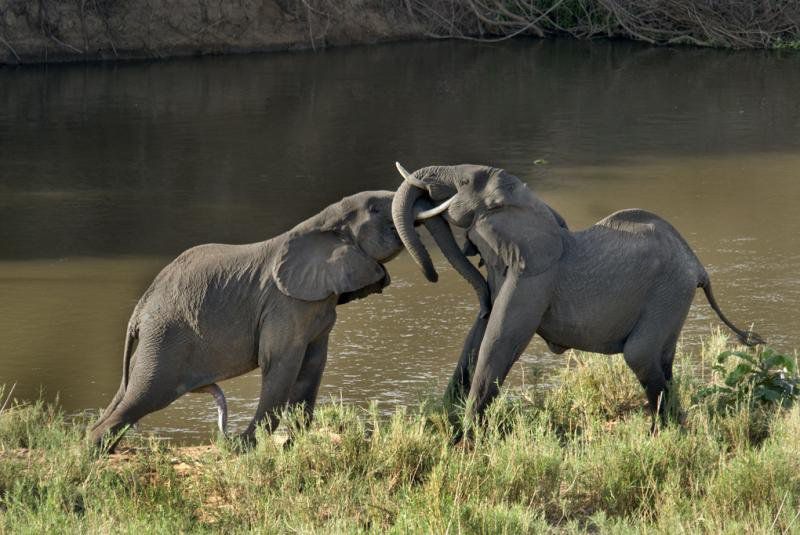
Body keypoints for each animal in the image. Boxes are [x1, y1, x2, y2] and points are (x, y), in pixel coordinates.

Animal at [91, 191, 484, 454]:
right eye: (374, 208)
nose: (435, 275)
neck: (319, 224)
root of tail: (139, 310)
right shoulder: (285, 304)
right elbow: (281, 363)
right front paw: (248, 446)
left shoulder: (318, 307)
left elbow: (313, 364)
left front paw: (296, 439)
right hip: (167, 338)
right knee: (147, 392)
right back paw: (96, 451)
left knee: (129, 392)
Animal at [390, 162, 764, 432]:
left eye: (465, 182)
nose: (433, 275)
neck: (528, 204)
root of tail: (698, 266)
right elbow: (478, 336)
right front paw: (444, 420)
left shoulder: (535, 278)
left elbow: (499, 339)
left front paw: (466, 435)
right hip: (673, 296)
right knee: (662, 359)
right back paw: (674, 429)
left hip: (668, 292)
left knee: (640, 354)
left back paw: (661, 435)